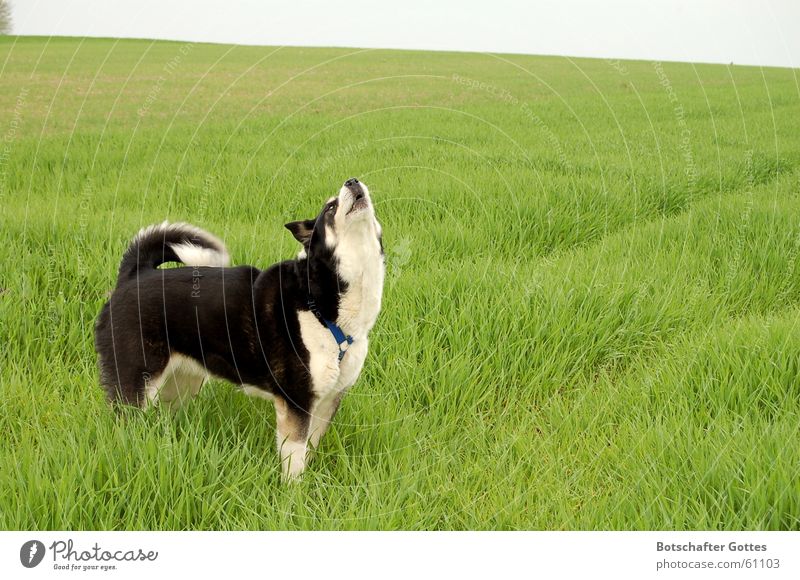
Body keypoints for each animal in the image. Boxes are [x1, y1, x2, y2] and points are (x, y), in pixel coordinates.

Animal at [97, 179, 384, 478]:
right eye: (330, 207)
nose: (352, 181)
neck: (319, 301)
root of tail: (133, 276)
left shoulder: (328, 400)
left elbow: (310, 450)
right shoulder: (296, 401)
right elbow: (295, 460)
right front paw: (294, 490)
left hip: (182, 382)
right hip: (136, 384)